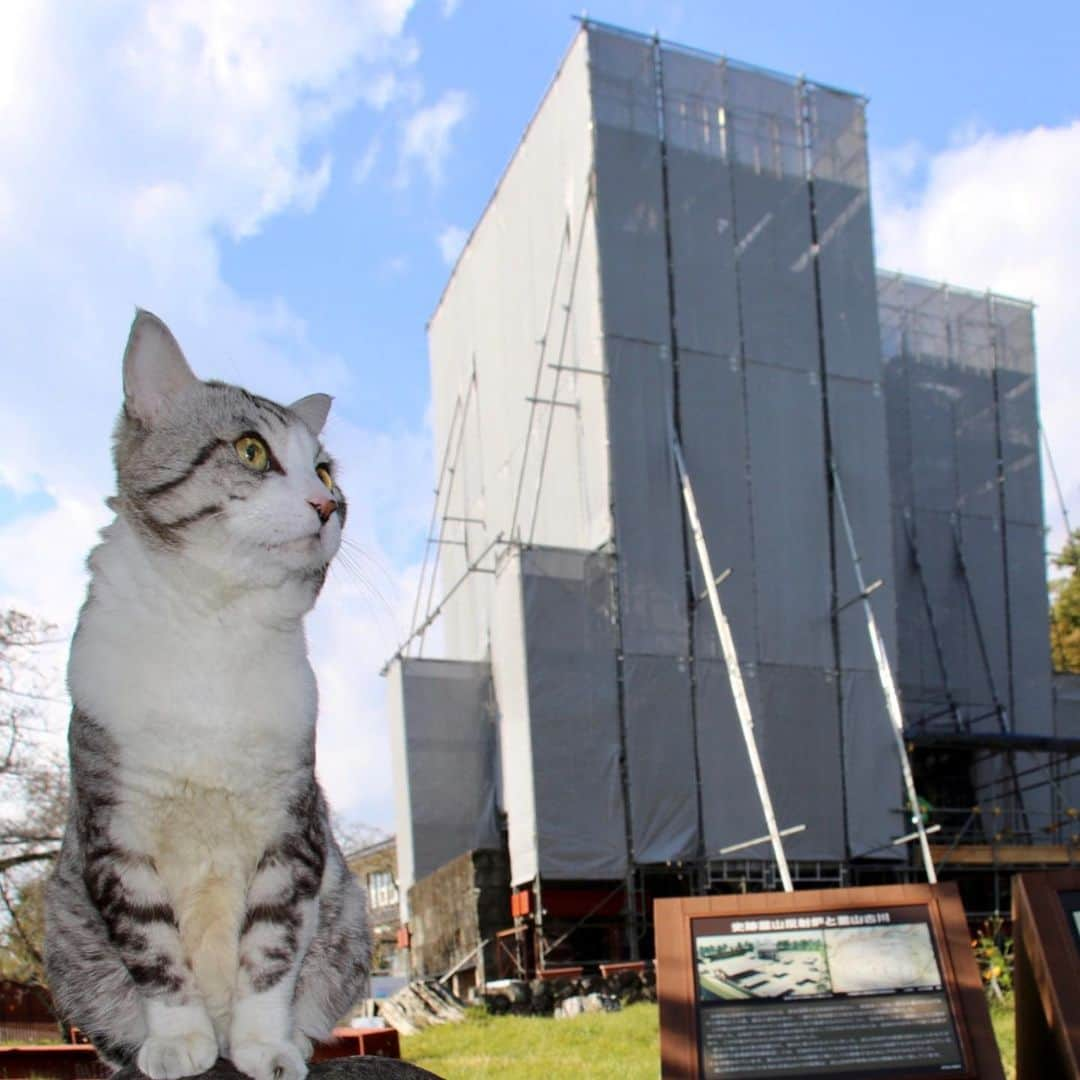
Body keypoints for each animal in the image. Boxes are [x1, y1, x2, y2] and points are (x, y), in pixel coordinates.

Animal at [45, 311, 371, 1080]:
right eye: (251, 451)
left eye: (323, 471)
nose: (328, 505)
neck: (216, 624)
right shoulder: (117, 828)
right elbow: (151, 946)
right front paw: (177, 1040)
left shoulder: (293, 827)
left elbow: (271, 947)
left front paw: (264, 1045)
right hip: (65, 933)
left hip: (349, 913)